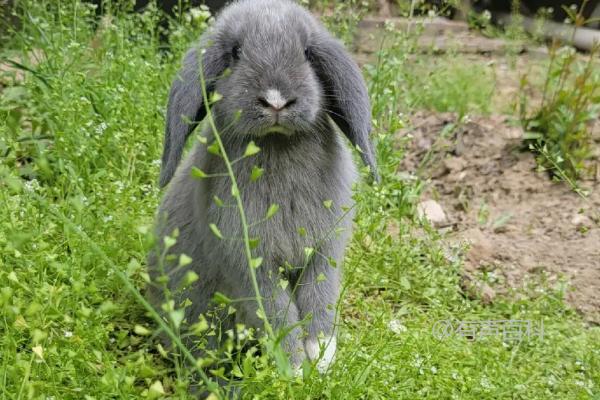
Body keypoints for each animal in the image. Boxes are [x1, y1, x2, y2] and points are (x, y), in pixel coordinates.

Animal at [148, 0, 378, 376]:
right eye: (235, 52)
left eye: (307, 52)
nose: (276, 101)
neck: (277, 144)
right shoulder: (250, 265)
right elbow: (277, 311)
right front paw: (295, 366)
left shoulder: (324, 252)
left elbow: (320, 298)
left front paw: (321, 355)